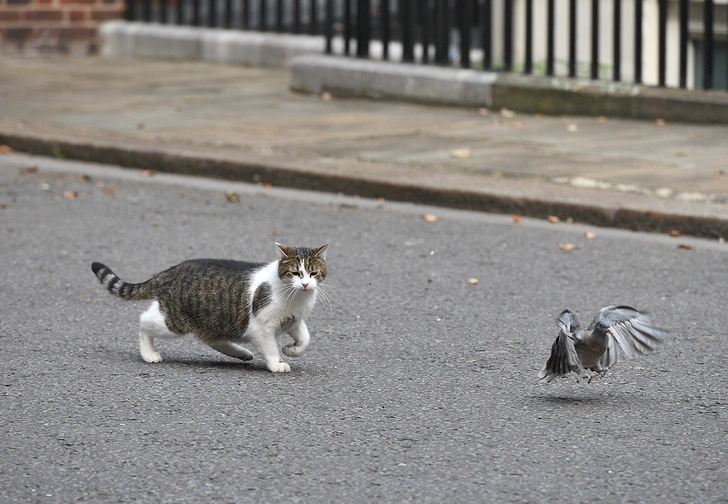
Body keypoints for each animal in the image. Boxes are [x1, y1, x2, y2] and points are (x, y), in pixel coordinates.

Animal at [91, 242, 328, 372]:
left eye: (313, 273)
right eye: (295, 273)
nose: (305, 284)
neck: (297, 299)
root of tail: (169, 271)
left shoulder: (294, 319)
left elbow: (306, 338)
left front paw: (292, 349)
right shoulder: (262, 327)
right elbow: (270, 349)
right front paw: (277, 363)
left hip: (215, 319)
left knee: (211, 338)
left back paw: (241, 353)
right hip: (174, 321)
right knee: (144, 322)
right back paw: (149, 353)